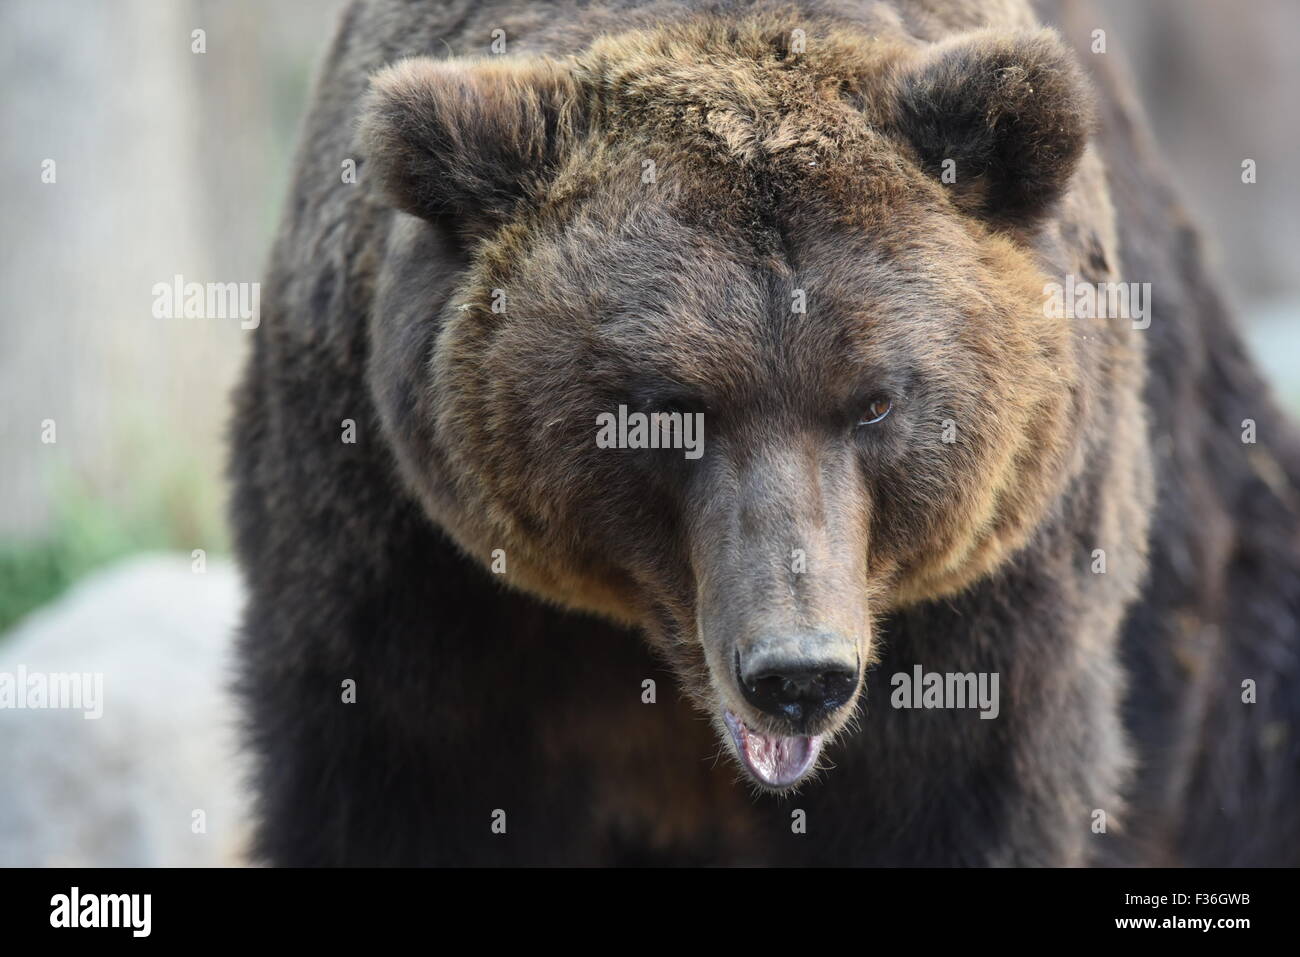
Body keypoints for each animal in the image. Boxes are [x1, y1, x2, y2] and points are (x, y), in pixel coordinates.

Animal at [230, 0, 1300, 866]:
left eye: (874, 401)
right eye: (668, 407)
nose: (798, 674)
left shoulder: (999, 610)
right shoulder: (408, 571)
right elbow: (401, 785)